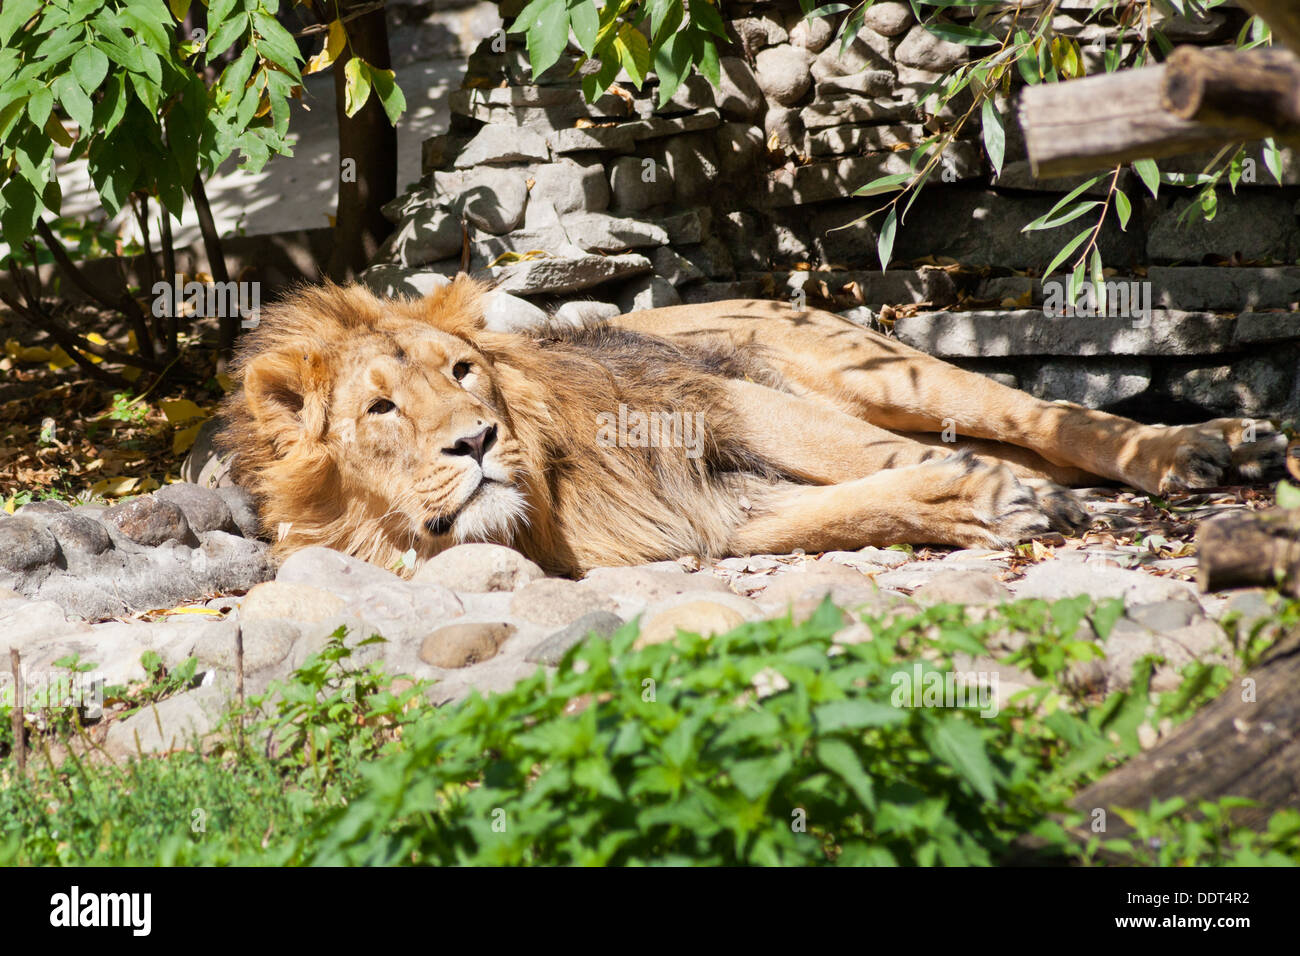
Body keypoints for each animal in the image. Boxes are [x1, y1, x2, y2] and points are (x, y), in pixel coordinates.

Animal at [218, 277, 1288, 576]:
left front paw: (997, 499)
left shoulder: (721, 402)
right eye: (381, 408)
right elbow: (847, 507)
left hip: (865, 367)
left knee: (1043, 415)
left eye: (462, 372)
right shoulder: (705, 515)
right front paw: (975, 507)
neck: (543, 513)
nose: (477, 442)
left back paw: (1199, 447)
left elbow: (869, 461)